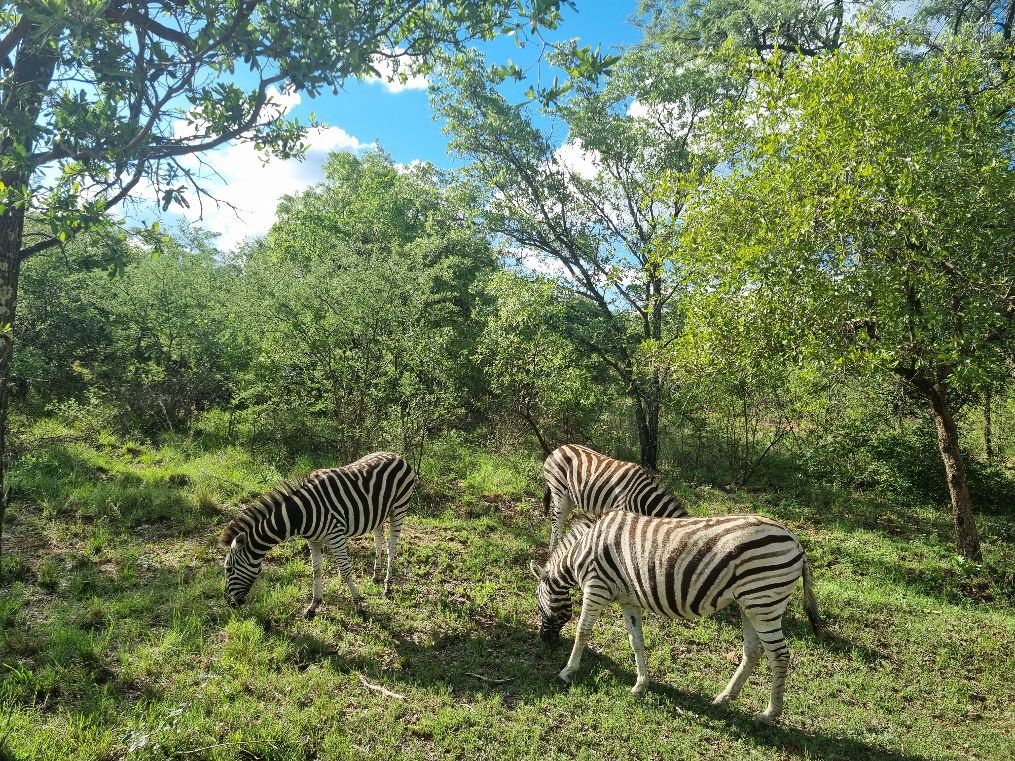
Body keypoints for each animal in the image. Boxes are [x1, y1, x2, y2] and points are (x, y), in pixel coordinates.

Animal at [220, 452, 414, 620]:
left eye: (228, 569)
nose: (229, 603)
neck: (301, 514)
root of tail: (396, 454)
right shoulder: (313, 540)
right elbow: (317, 570)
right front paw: (313, 606)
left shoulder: (336, 536)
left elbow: (345, 571)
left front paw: (359, 606)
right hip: (377, 515)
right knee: (379, 541)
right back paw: (376, 576)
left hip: (399, 508)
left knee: (392, 547)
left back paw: (387, 585)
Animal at [531, 509, 824, 722]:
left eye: (537, 600)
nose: (545, 642)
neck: (581, 551)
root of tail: (796, 541)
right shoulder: (628, 600)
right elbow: (636, 642)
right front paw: (641, 685)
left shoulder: (596, 587)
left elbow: (582, 631)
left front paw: (567, 671)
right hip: (750, 604)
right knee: (753, 651)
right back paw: (724, 698)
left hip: (763, 602)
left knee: (779, 655)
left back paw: (770, 714)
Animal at [544, 440, 686, 556]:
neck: (644, 499)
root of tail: (557, 449)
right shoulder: (622, 509)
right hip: (558, 490)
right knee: (556, 520)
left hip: (569, 497)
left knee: (558, 519)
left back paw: (553, 550)